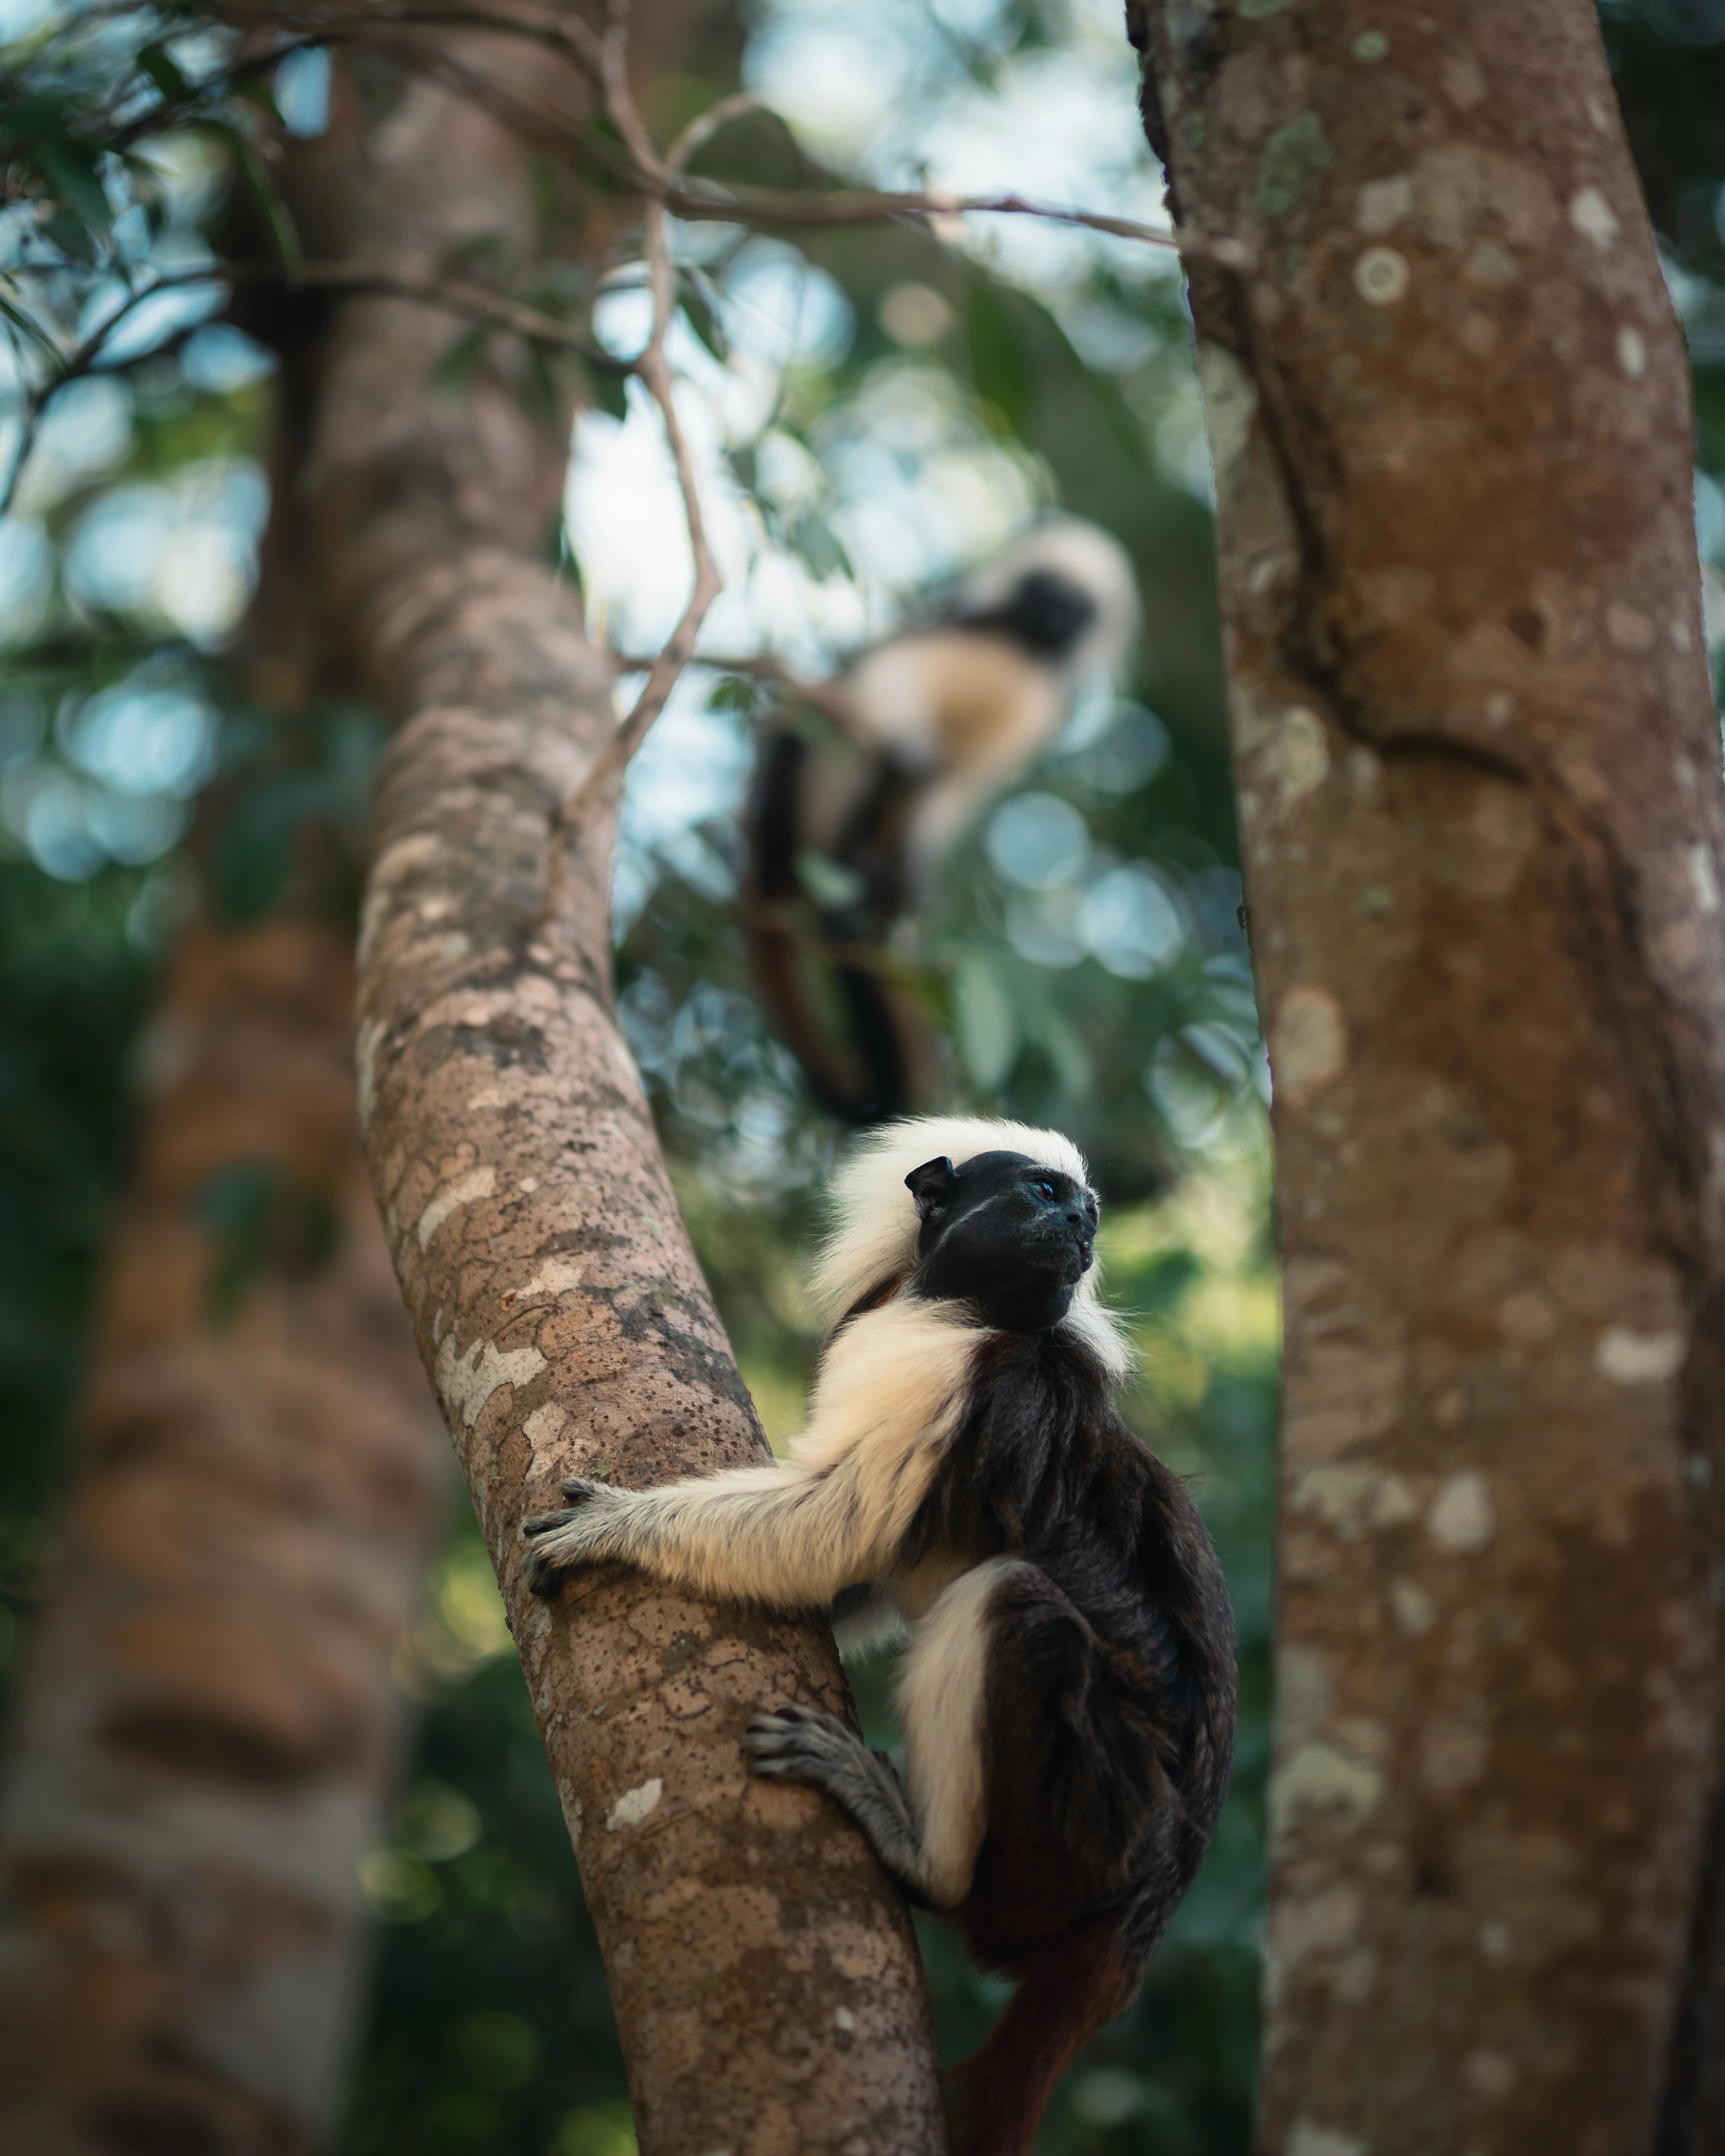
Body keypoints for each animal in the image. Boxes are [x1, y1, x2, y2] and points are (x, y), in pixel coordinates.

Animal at [521, 1116, 1236, 2156]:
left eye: (1088, 1213)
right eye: (1048, 1196)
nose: (1081, 1232)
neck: (951, 1314)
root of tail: (1147, 1909)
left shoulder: (953, 1385)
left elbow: (837, 1527)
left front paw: (618, 1525)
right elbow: (851, 1573)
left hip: (1092, 1819)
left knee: (1009, 1602)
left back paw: (918, 1850)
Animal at [745, 522, 1141, 1124]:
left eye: (1076, 609)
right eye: (1044, 592)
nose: (1054, 614)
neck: (1027, 649)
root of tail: (770, 828)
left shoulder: (1049, 697)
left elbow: (955, 789)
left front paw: (914, 868)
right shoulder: (971, 628)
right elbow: (890, 675)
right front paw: (907, 743)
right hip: (820, 784)